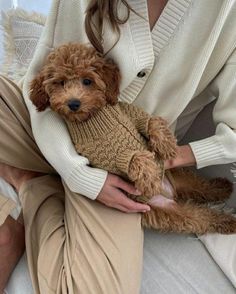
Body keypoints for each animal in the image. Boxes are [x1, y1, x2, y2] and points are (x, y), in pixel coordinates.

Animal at [29, 43, 236, 234]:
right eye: (60, 83)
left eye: (87, 81)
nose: (73, 103)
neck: (95, 117)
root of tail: (170, 194)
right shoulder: (105, 159)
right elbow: (135, 157)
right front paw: (150, 179)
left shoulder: (130, 113)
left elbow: (151, 121)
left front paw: (166, 145)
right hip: (170, 213)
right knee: (200, 217)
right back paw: (227, 217)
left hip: (179, 177)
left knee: (201, 187)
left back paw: (223, 188)